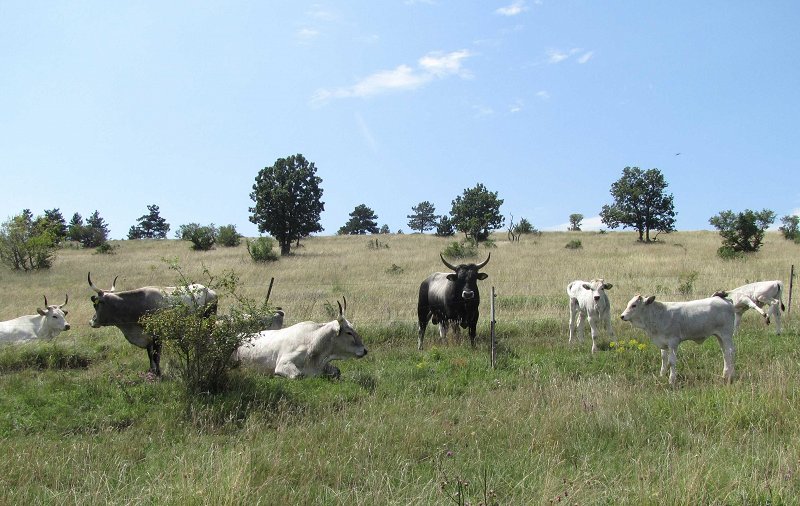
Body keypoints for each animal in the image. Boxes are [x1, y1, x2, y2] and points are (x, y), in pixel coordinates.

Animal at [88, 272, 216, 376]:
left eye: (95, 305)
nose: (91, 322)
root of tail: (210, 291)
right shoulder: (147, 338)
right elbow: (150, 355)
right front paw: (152, 371)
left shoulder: (157, 336)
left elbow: (156, 355)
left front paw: (158, 373)